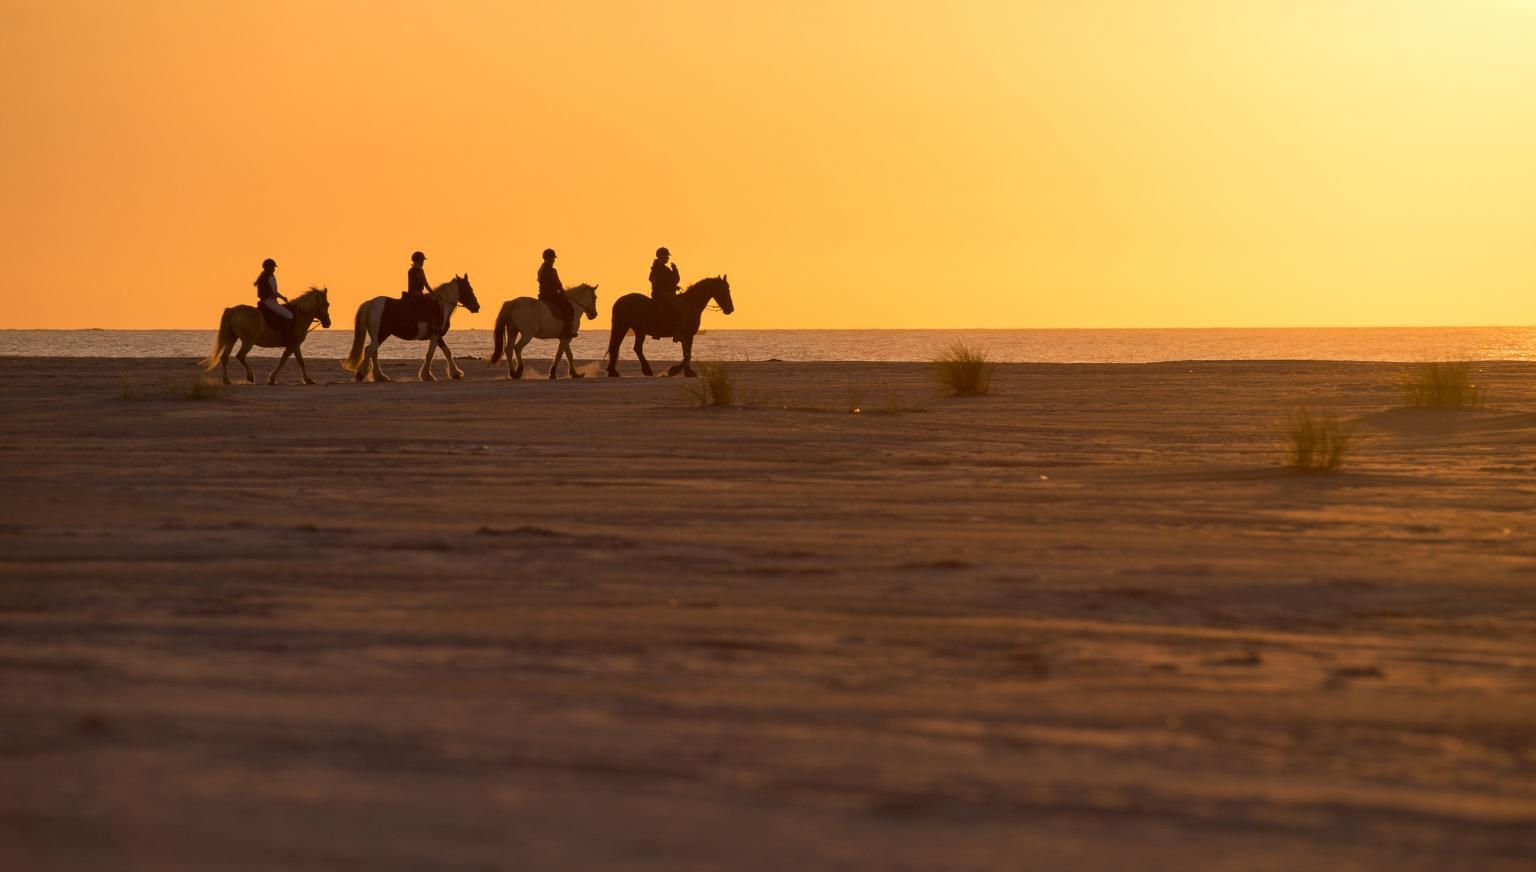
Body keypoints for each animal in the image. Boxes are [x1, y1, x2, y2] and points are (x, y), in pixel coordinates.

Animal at [199, 285, 331, 385]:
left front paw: (272, 379)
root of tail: (233, 310)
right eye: (327, 304)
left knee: (225, 357)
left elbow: (284, 360)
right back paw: (250, 377)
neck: (299, 315)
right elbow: (299, 361)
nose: (328, 323)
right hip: (248, 341)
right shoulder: (294, 344)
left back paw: (227, 380)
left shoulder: (291, 345)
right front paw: (308, 380)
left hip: (232, 338)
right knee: (240, 355)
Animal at [340, 274, 479, 379]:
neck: (441, 305)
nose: (477, 307)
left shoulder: (438, 336)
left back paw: (380, 376)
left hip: (378, 335)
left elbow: (447, 352)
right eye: (469, 289)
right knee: (369, 350)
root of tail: (371, 303)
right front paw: (427, 375)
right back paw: (361, 374)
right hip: (381, 334)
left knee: (374, 352)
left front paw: (455, 373)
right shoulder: (436, 335)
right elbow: (431, 354)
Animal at [602, 276, 734, 377]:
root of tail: (620, 301)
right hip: (634, 329)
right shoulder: (688, 334)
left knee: (618, 347)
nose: (730, 309)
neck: (691, 304)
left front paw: (687, 372)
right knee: (633, 348)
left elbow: (687, 353)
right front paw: (675, 370)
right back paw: (645, 370)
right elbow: (687, 355)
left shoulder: (687, 336)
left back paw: (613, 371)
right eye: (724, 290)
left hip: (627, 328)